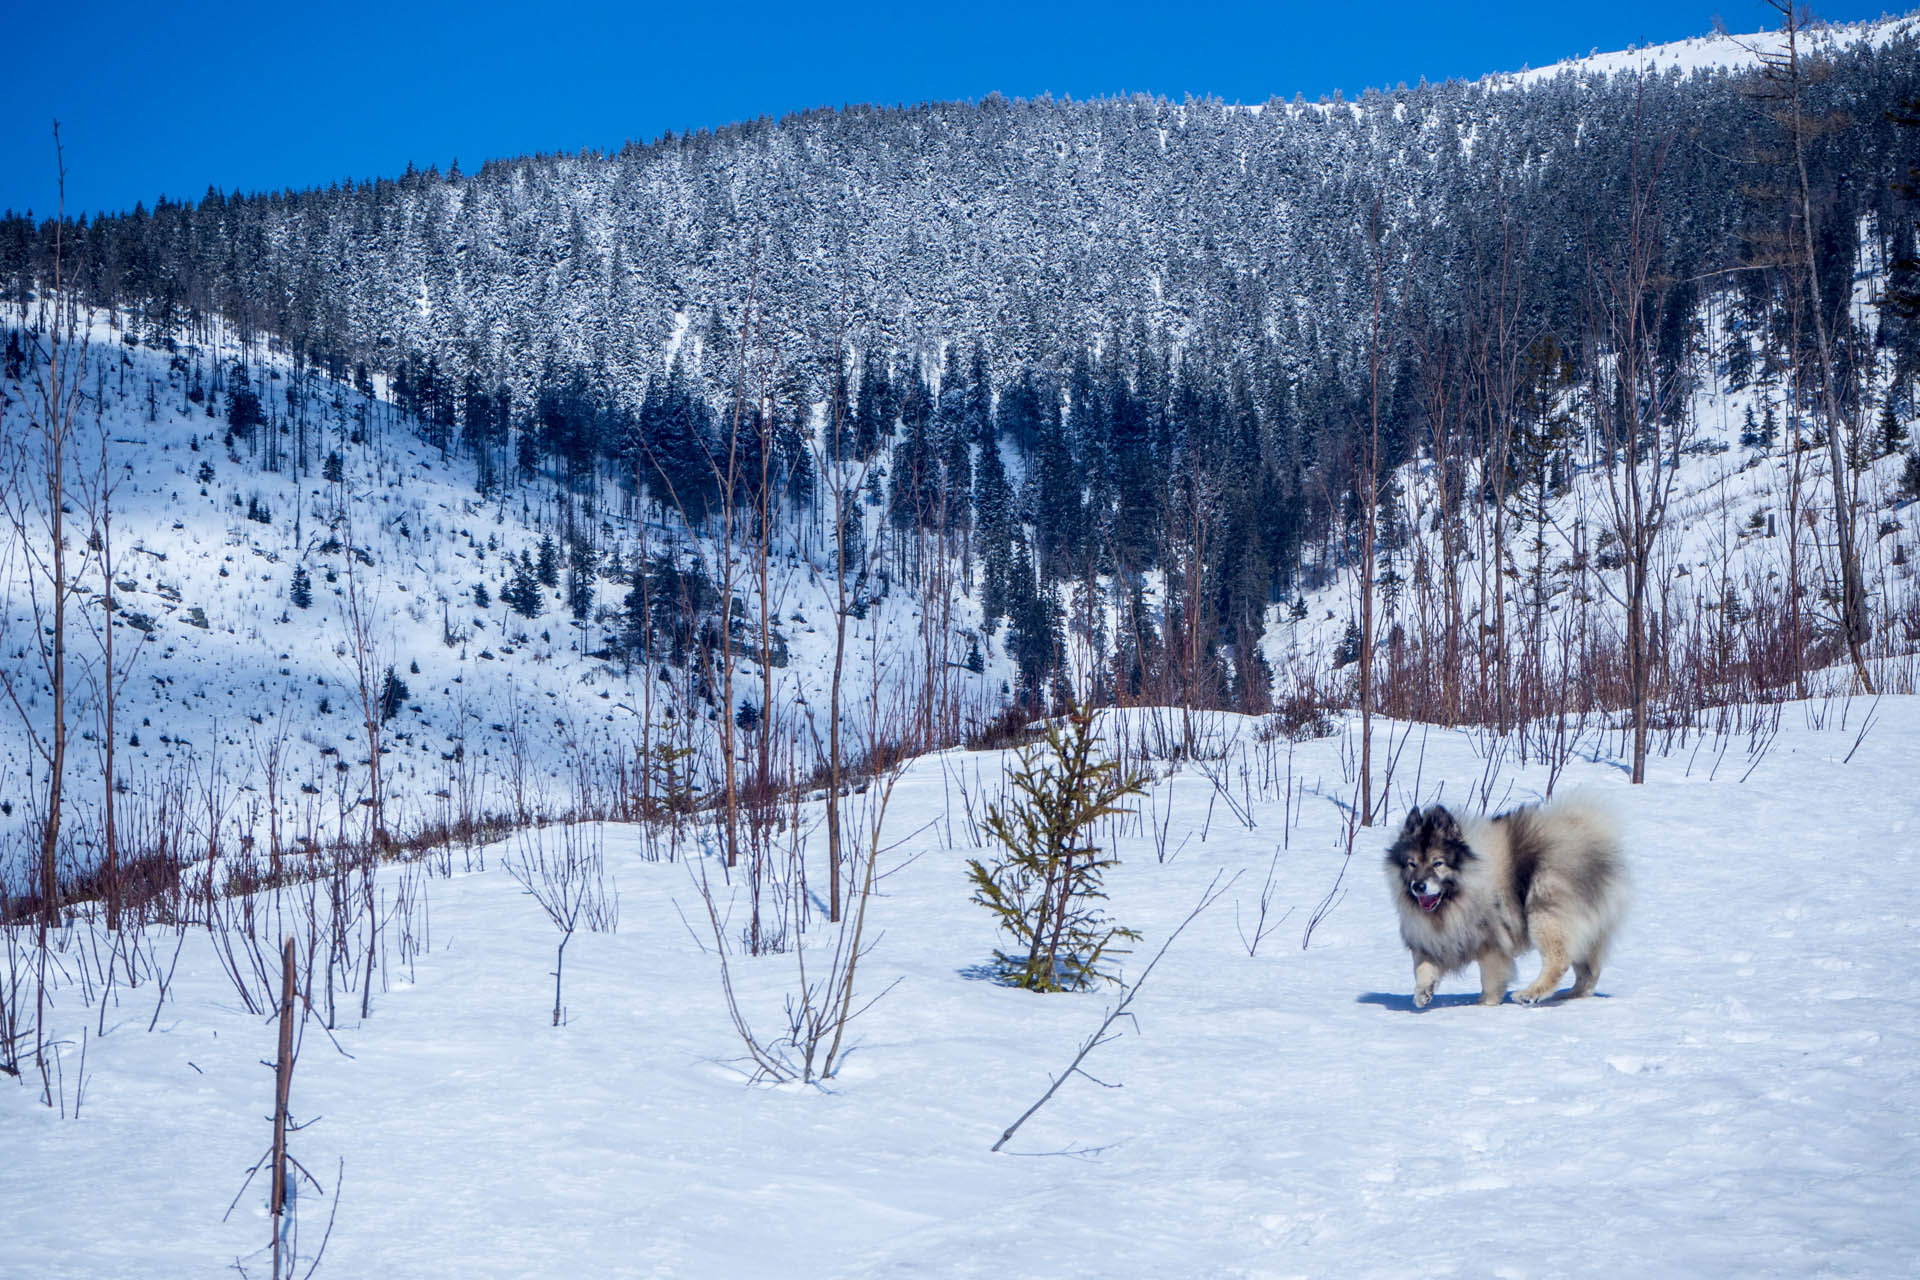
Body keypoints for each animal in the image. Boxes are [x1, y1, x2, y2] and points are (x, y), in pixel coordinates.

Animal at [1390, 802, 1628, 1013]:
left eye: (1437, 863)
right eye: (1411, 864)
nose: (1418, 886)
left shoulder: (1492, 944)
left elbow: (1491, 979)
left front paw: (1484, 1005)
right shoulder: (1434, 939)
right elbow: (1423, 968)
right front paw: (1422, 993)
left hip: (1544, 915)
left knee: (1558, 960)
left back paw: (1530, 994)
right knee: (1589, 971)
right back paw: (1570, 996)